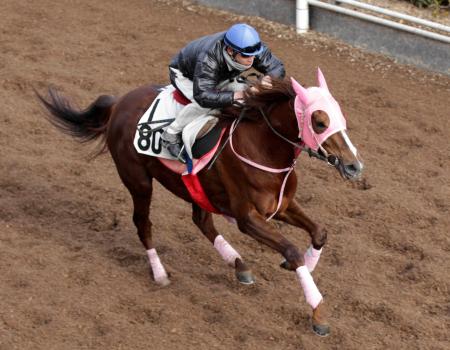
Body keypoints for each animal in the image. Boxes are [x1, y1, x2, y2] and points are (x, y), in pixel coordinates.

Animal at [37, 67, 362, 336]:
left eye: (341, 117)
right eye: (319, 122)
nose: (354, 165)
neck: (262, 147)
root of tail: (119, 103)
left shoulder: (280, 207)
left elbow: (319, 232)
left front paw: (306, 265)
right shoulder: (248, 218)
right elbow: (292, 251)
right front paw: (318, 312)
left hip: (195, 188)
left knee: (202, 220)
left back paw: (238, 264)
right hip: (138, 181)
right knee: (143, 223)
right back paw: (160, 273)